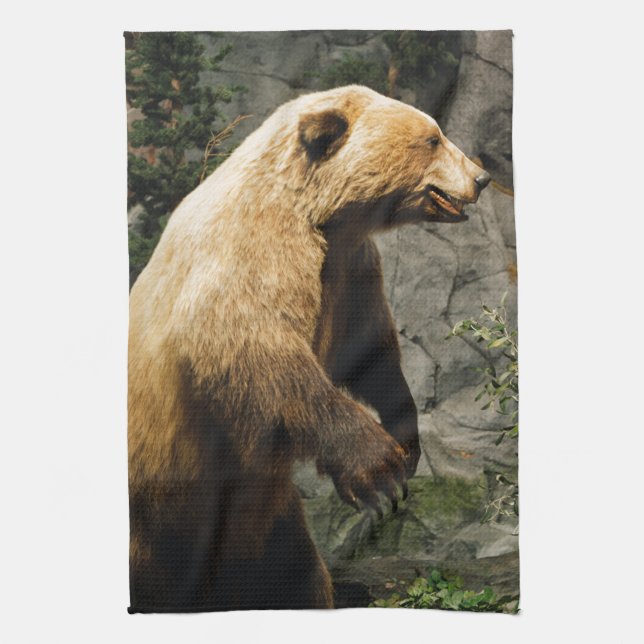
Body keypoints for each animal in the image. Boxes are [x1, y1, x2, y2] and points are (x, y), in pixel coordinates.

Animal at [128, 85, 490, 612]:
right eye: (432, 138)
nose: (482, 178)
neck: (321, 214)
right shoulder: (253, 249)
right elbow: (256, 349)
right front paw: (378, 471)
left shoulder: (349, 265)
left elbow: (367, 348)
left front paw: (406, 438)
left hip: (265, 521)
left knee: (291, 573)